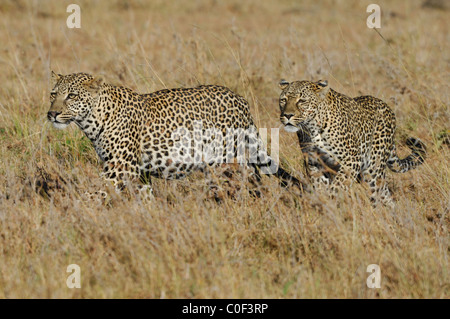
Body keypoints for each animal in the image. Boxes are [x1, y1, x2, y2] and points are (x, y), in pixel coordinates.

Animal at [45, 72, 302, 200]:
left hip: (229, 162)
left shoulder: (120, 167)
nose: (52, 113)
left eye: (72, 96)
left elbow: (94, 193)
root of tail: (239, 99)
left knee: (250, 185)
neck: (93, 120)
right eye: (53, 94)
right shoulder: (138, 172)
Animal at [276, 79, 428, 206]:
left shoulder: (351, 161)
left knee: (378, 193)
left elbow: (337, 186)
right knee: (385, 195)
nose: (287, 115)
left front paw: (331, 201)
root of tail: (388, 109)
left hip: (373, 169)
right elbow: (320, 187)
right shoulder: (314, 163)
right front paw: (324, 205)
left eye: (302, 101)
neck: (311, 128)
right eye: (283, 100)